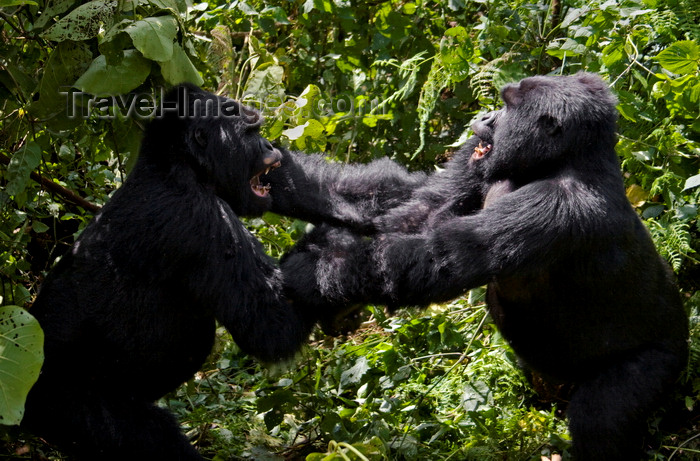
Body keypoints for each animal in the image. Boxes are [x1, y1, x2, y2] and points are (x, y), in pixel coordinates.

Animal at [19, 84, 330, 458]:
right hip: (66, 405)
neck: (176, 164)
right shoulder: (202, 217)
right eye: (250, 132)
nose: (271, 147)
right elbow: (272, 325)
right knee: (147, 433)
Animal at [266, 73, 688, 458]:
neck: (563, 161)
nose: (483, 116)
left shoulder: (558, 207)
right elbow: (415, 202)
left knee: (600, 419)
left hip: (663, 358)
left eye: (507, 106)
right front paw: (271, 173)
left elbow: (436, 259)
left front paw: (310, 277)